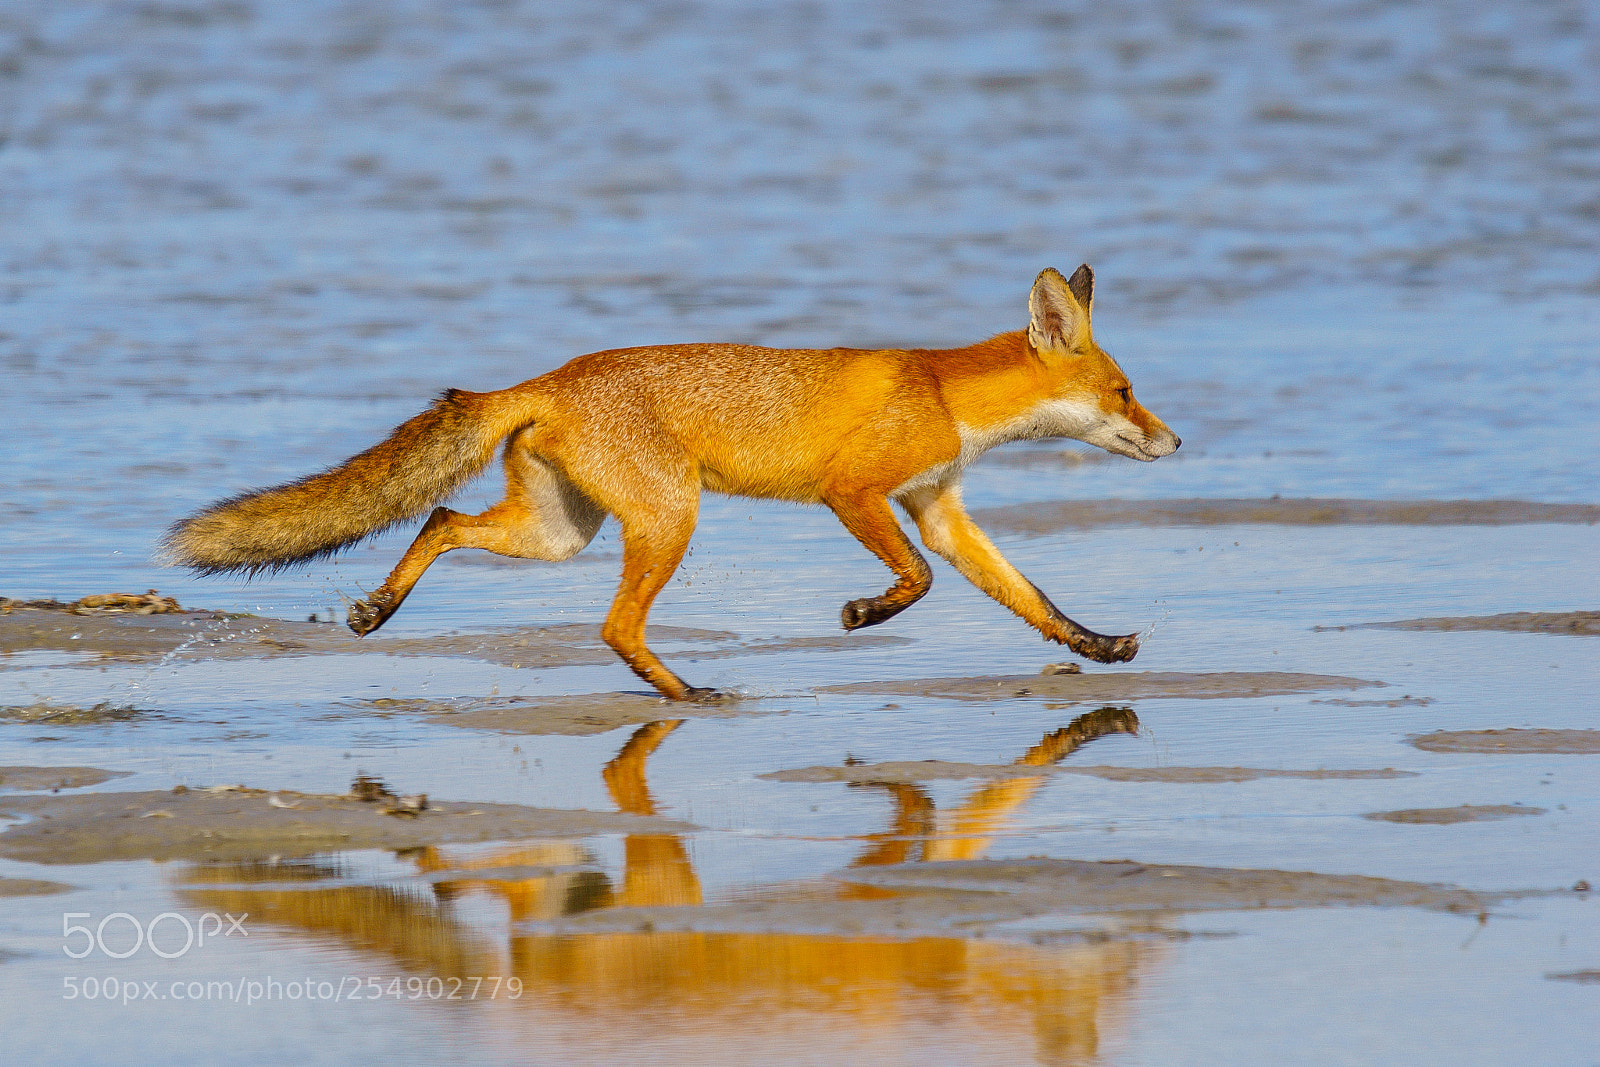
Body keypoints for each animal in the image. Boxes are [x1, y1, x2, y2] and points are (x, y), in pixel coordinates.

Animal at [164, 265, 1180, 701]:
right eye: (1126, 390)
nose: (1175, 440)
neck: (943, 393)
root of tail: (547, 377)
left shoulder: (936, 506)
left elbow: (1031, 595)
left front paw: (1097, 648)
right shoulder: (854, 491)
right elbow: (918, 581)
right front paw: (864, 614)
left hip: (558, 533)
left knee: (444, 517)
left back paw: (379, 608)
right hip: (668, 519)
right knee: (614, 627)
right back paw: (685, 693)